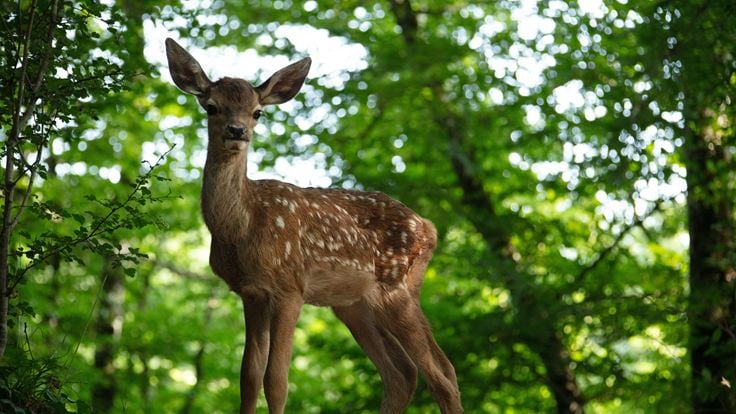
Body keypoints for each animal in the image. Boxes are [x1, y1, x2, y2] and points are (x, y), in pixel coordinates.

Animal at [166, 38, 462, 414]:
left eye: (257, 112)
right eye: (211, 107)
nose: (237, 131)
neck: (242, 226)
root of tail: (428, 228)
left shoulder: (290, 286)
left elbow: (276, 380)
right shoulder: (251, 292)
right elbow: (248, 377)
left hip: (396, 286)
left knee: (440, 373)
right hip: (354, 304)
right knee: (404, 373)